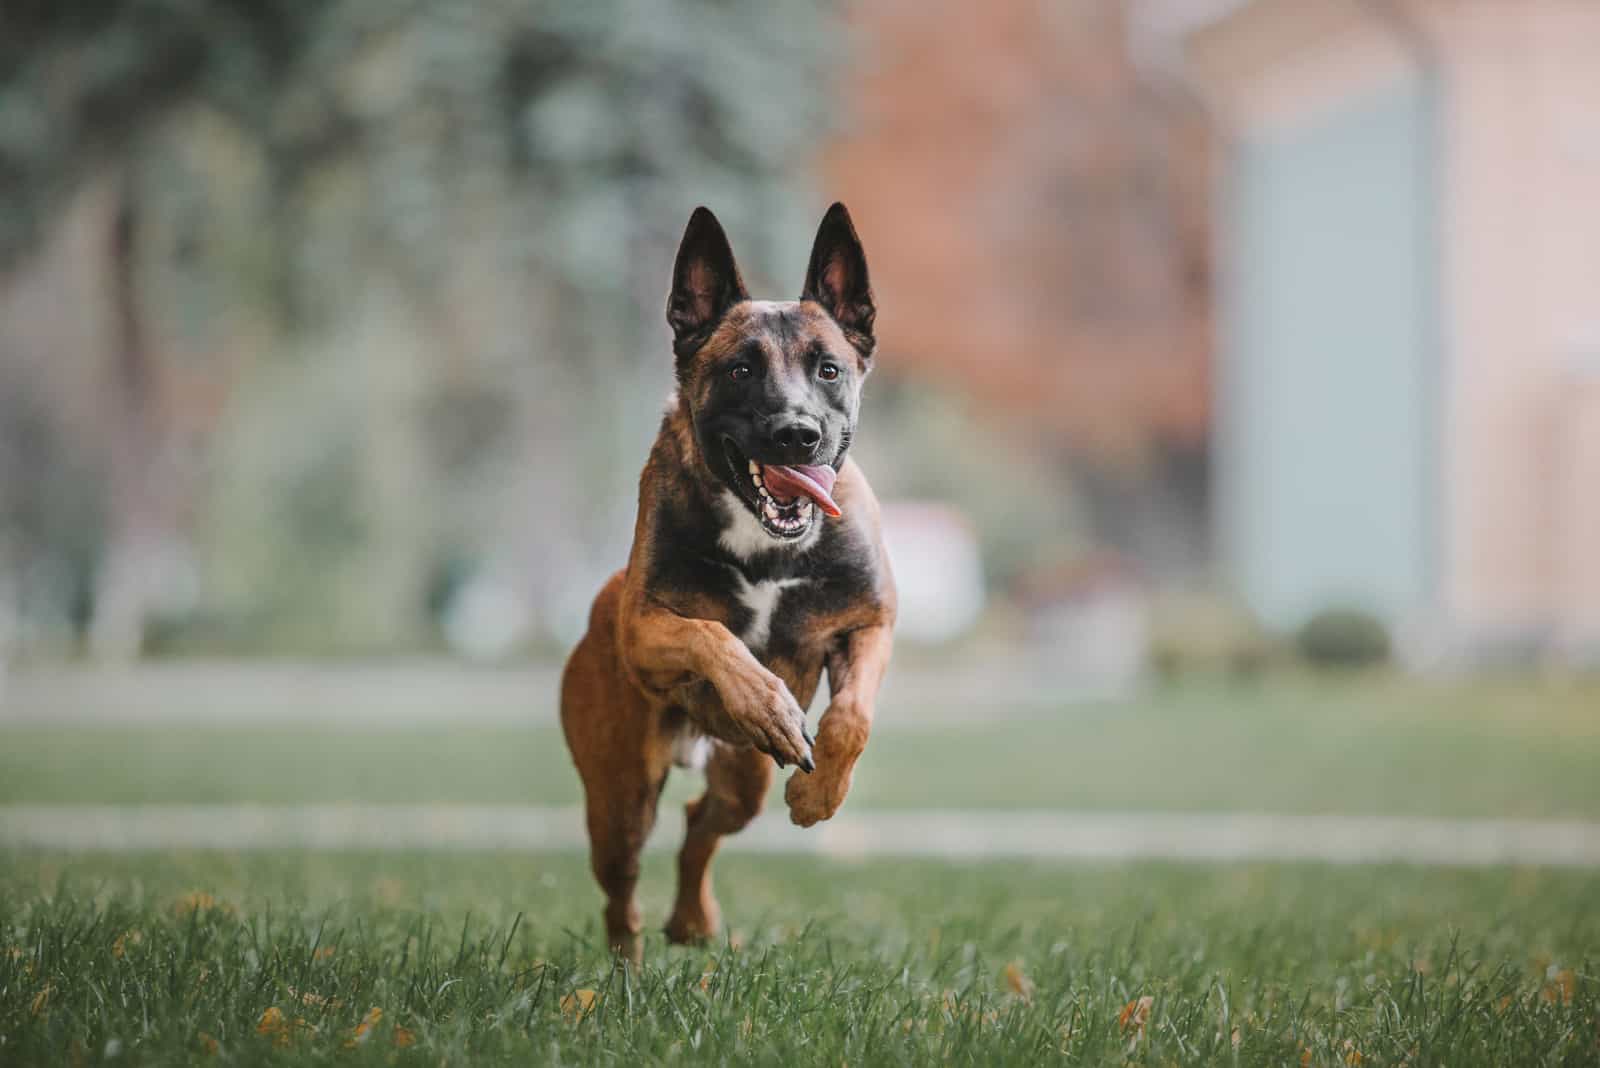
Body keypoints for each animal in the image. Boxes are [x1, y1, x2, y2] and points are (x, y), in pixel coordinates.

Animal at [563, 202, 896, 959]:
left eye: (828, 369)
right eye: (741, 369)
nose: (797, 434)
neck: (766, 540)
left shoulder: (869, 623)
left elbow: (852, 717)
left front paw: (820, 796)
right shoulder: (644, 630)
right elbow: (713, 637)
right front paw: (766, 702)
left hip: (742, 779)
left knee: (699, 827)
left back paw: (692, 921)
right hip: (620, 796)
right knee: (622, 887)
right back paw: (626, 961)